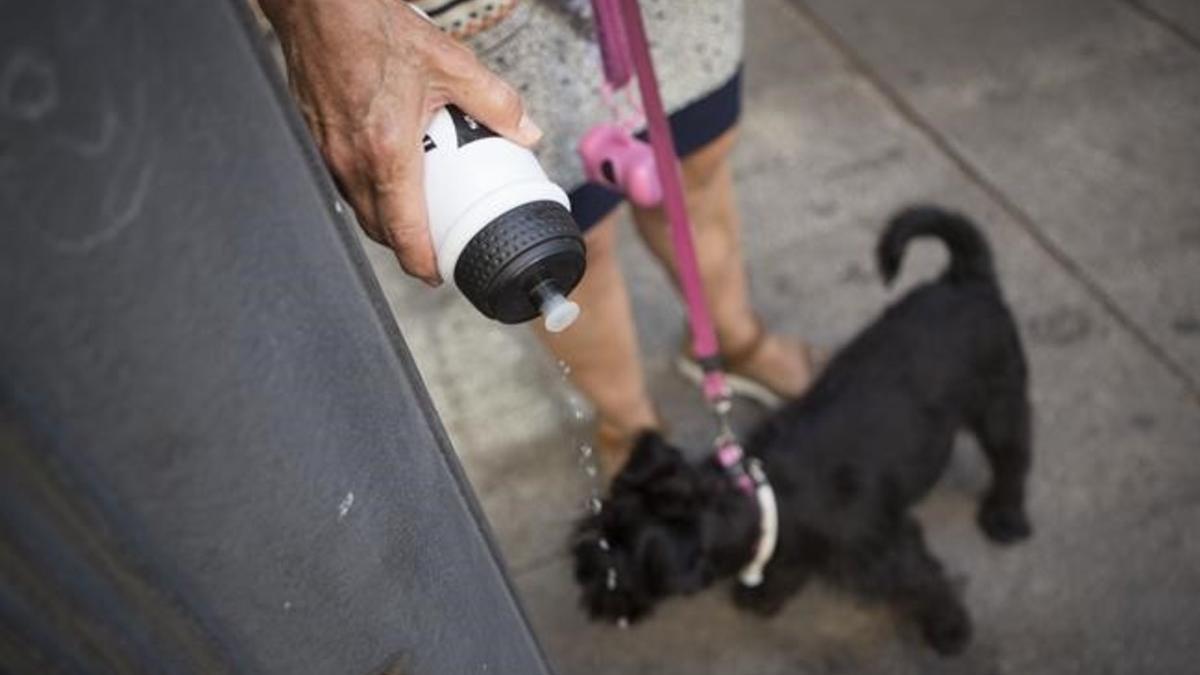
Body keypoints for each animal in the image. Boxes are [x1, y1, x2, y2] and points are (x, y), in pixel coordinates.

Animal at [571, 205, 1032, 653]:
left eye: (616, 572)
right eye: (596, 526)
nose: (582, 571)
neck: (765, 499)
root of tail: (965, 279)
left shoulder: (888, 553)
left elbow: (925, 585)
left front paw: (950, 632)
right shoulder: (789, 549)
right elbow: (786, 569)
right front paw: (762, 595)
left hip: (1001, 404)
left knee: (1012, 458)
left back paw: (1005, 518)